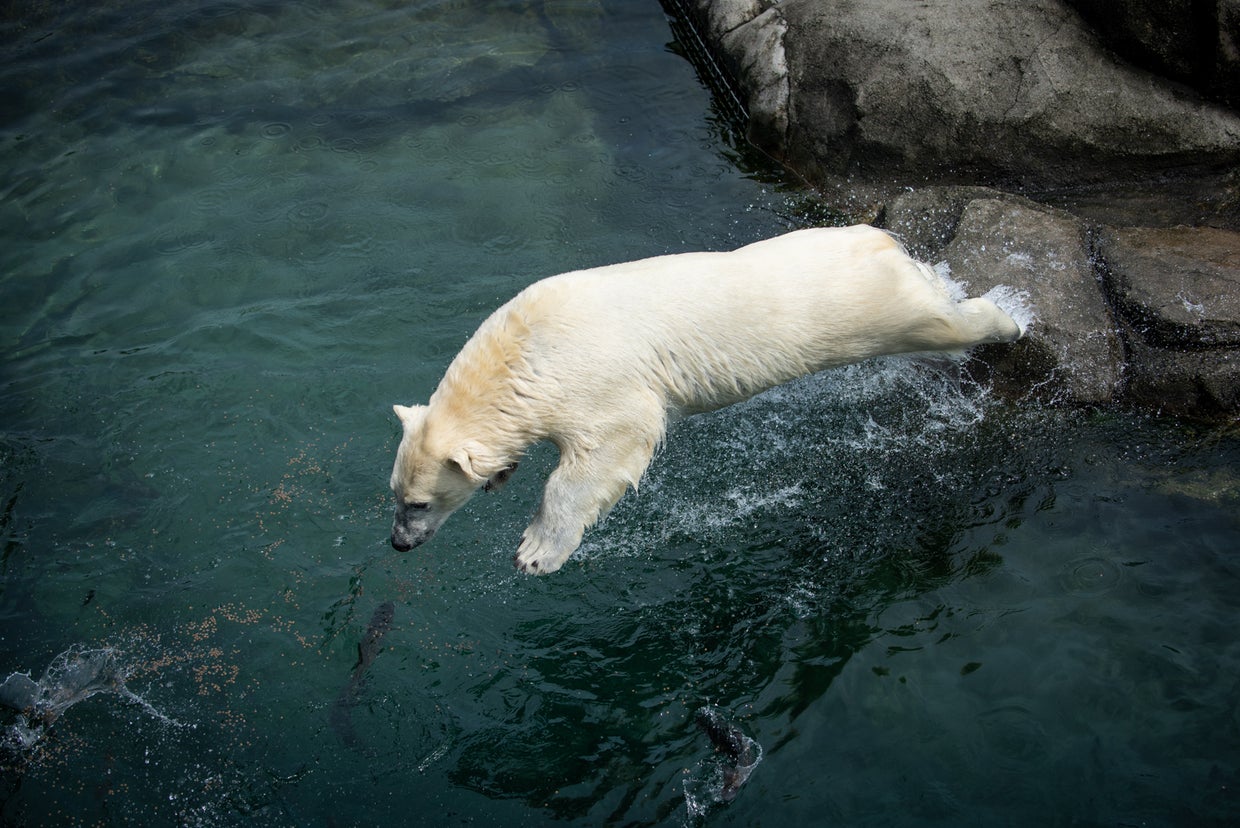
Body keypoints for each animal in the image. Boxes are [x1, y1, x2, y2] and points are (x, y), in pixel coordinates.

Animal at [389, 225, 1023, 574]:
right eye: (393, 495)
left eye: (418, 504)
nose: (398, 543)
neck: (521, 352)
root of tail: (881, 242)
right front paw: (502, 476)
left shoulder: (593, 379)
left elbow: (611, 447)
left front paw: (535, 552)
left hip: (871, 310)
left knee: (942, 322)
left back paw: (1009, 318)